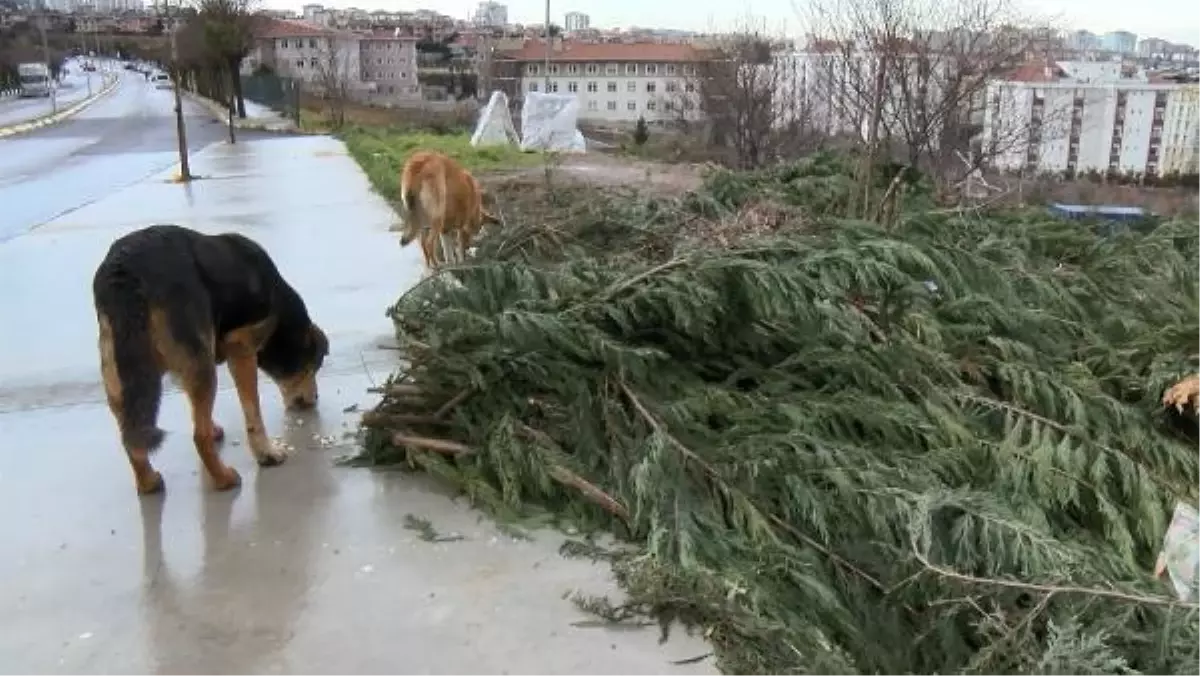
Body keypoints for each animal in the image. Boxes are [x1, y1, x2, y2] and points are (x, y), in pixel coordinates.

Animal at [91, 224, 331, 494]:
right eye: (315, 366)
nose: (314, 399)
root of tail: (125, 270)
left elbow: (196, 406)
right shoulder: (242, 349)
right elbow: (253, 415)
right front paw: (267, 454)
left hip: (118, 373)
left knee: (131, 436)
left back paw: (148, 482)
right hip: (200, 366)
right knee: (199, 435)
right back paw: (224, 479)